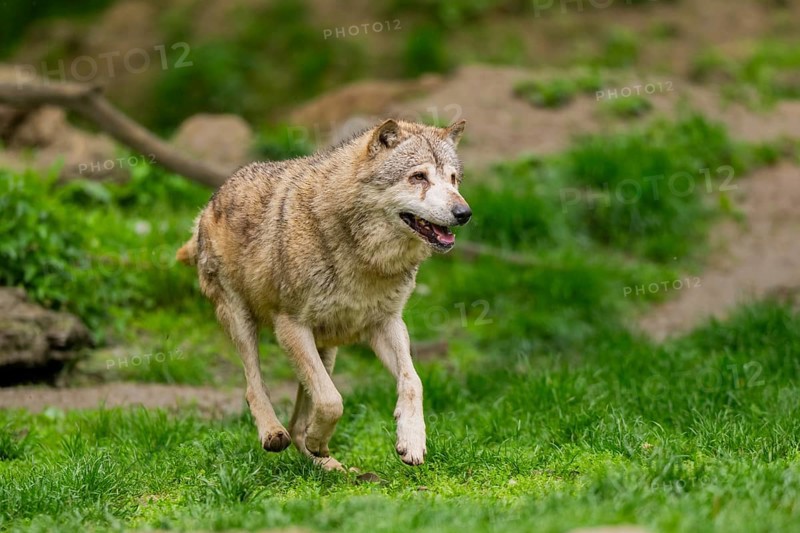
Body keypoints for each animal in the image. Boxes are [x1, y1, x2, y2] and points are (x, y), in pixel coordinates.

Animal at [177, 119, 471, 470]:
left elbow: (413, 381)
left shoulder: (387, 324)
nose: (464, 212)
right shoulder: (291, 327)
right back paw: (275, 434)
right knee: (255, 387)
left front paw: (411, 441)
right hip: (242, 322)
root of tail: (207, 206)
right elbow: (332, 401)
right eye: (419, 176)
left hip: (327, 347)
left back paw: (327, 464)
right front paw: (317, 438)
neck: (364, 257)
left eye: (453, 179)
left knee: (299, 420)